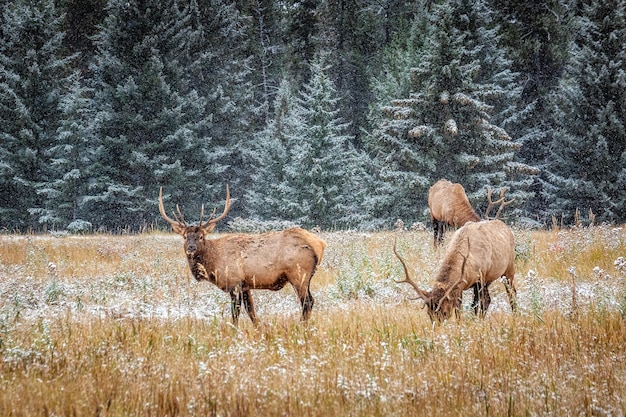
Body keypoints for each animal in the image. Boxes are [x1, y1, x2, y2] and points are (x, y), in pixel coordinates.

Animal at [157, 185, 326, 324]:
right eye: (185, 236)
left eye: (201, 237)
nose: (191, 248)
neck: (213, 263)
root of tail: (319, 244)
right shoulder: (246, 285)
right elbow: (251, 312)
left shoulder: (234, 282)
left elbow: (235, 313)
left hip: (298, 274)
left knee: (308, 302)